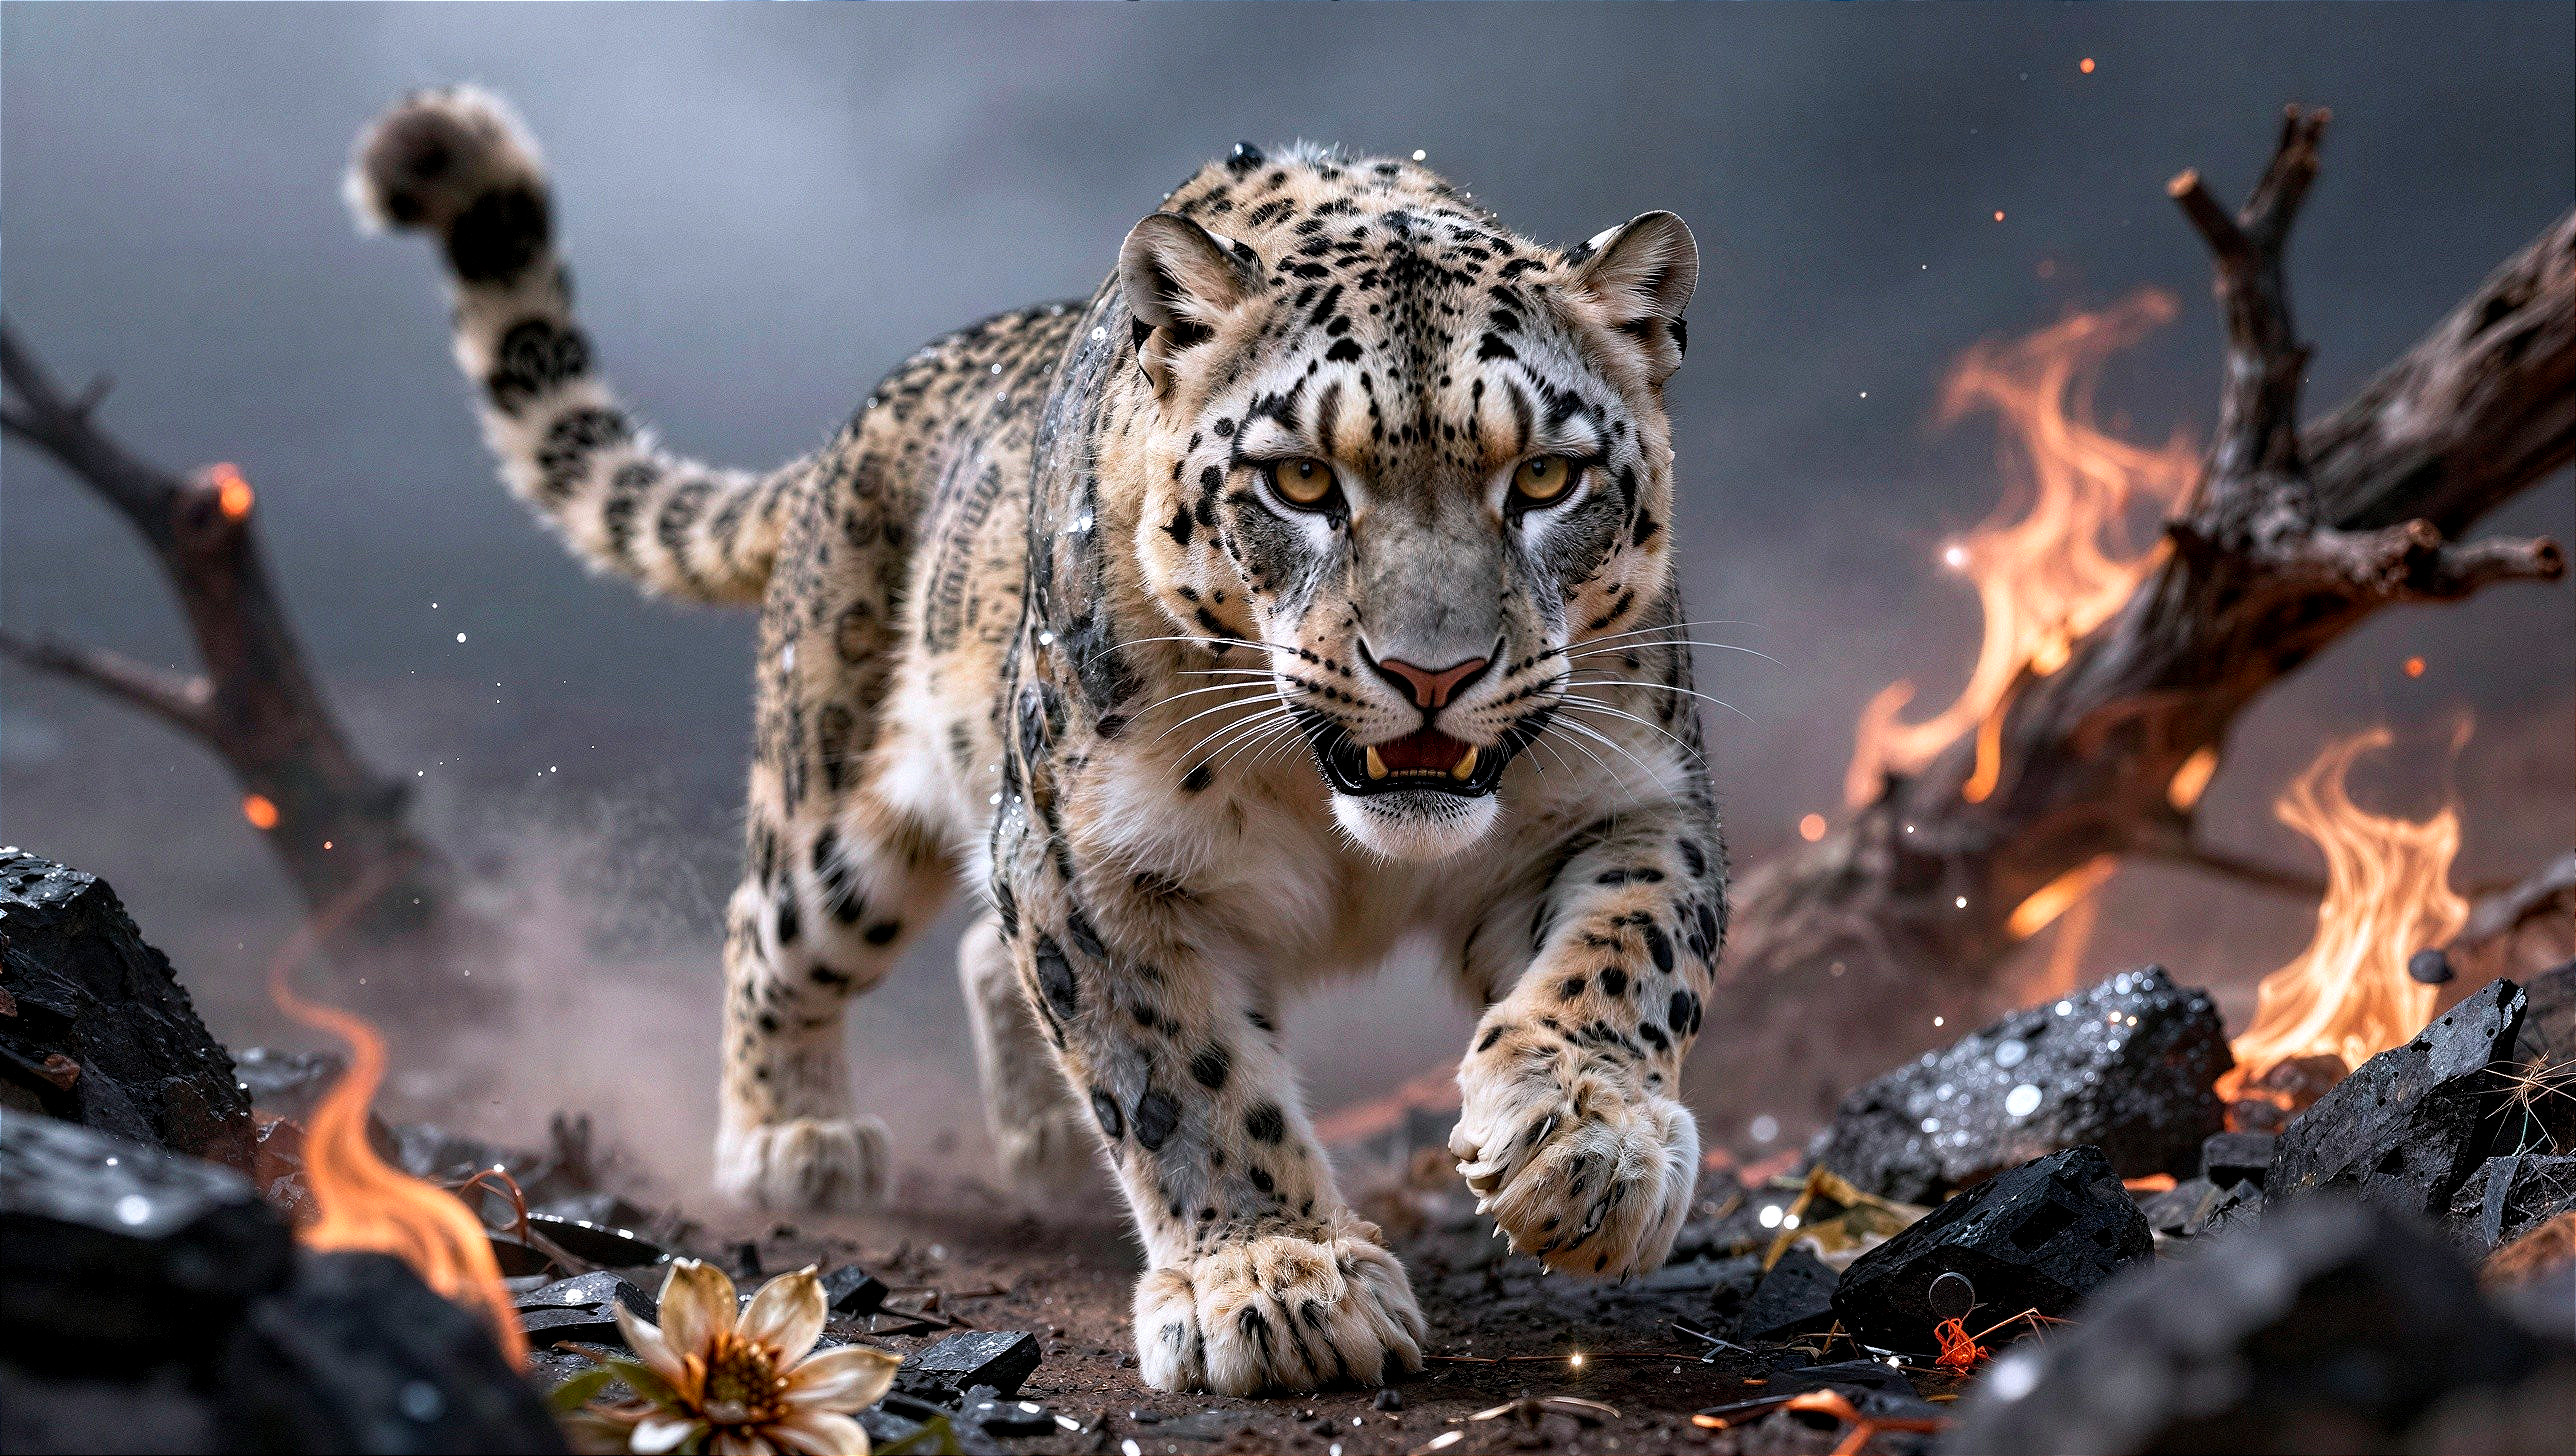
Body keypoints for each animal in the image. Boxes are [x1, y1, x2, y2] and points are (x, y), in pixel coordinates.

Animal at [350, 87, 1726, 1397]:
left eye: (1544, 478)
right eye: (1297, 481)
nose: (1430, 673)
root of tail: (849, 432)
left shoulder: (1635, 795)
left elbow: (1628, 953)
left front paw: (1584, 1150)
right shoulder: (1082, 854)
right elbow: (1179, 1072)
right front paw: (1274, 1280)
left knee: (972, 953)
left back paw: (1047, 1139)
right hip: (840, 825)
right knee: (766, 927)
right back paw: (792, 1140)